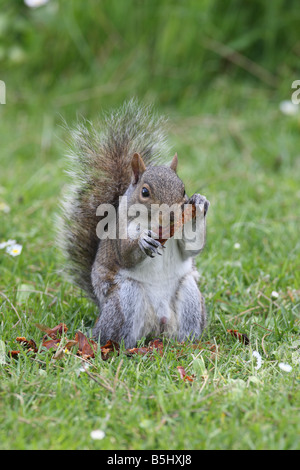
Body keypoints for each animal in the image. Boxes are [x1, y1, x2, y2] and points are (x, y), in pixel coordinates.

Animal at [58, 100, 209, 348]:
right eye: (145, 192)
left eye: (183, 190)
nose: (171, 216)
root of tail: (157, 327)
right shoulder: (119, 230)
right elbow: (125, 253)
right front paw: (143, 240)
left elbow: (191, 247)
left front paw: (200, 203)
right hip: (125, 297)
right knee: (115, 334)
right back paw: (120, 348)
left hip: (189, 294)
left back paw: (188, 344)